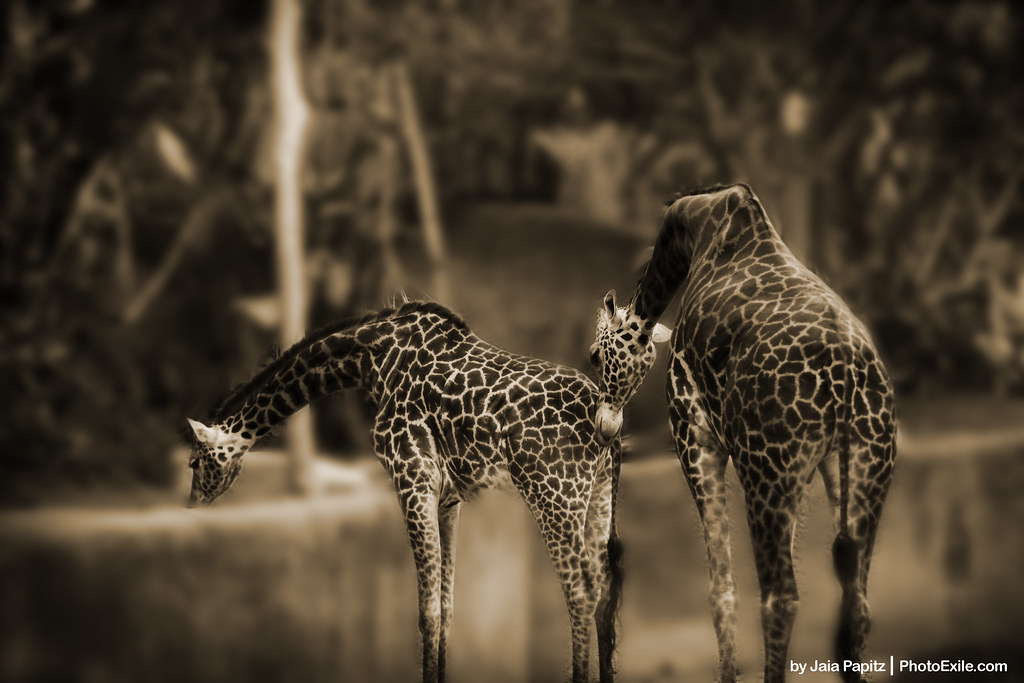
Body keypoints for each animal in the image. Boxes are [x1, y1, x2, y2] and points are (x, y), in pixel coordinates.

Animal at [184, 300, 623, 683]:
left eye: (193, 463)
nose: (192, 506)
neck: (373, 359)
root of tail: (609, 427)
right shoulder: (449, 498)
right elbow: (446, 606)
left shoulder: (410, 476)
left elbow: (426, 612)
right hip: (599, 493)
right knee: (605, 591)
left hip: (552, 493)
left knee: (581, 592)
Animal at [588, 184, 896, 683]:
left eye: (597, 356)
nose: (606, 424)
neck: (695, 227)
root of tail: (846, 375)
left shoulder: (693, 433)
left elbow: (721, 587)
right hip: (865, 465)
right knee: (857, 604)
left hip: (768, 474)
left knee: (780, 599)